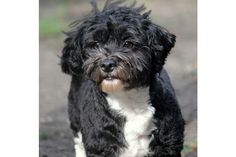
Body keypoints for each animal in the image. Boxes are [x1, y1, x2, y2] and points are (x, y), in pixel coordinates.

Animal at [60, 0, 184, 156]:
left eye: (128, 43)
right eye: (95, 44)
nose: (107, 64)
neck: (128, 101)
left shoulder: (168, 143)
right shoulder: (100, 144)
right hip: (75, 114)